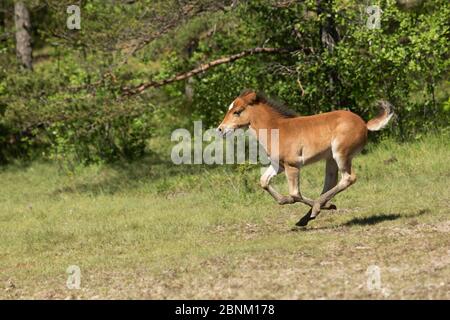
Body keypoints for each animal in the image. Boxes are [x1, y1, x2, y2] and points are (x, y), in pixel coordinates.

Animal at [218, 89, 394, 226]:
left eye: (237, 111)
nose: (220, 129)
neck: (276, 129)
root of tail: (364, 124)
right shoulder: (278, 165)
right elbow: (264, 181)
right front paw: (287, 201)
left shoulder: (292, 165)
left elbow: (295, 194)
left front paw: (323, 206)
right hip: (330, 158)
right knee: (330, 183)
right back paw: (308, 216)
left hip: (340, 154)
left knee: (348, 178)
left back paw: (316, 209)